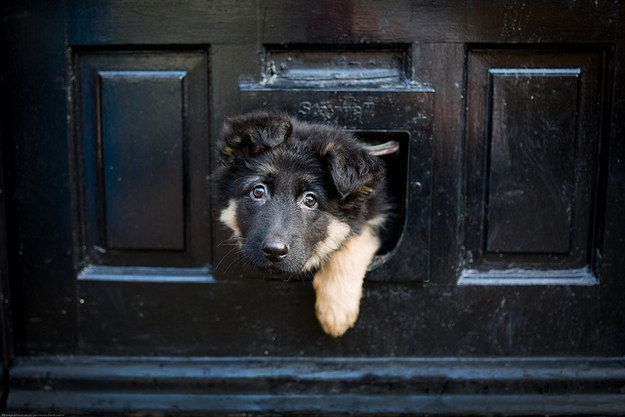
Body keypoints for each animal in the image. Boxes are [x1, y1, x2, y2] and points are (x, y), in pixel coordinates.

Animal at [217, 109, 388, 334]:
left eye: (310, 200)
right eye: (258, 191)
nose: (274, 251)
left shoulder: (375, 211)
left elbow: (353, 242)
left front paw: (336, 308)